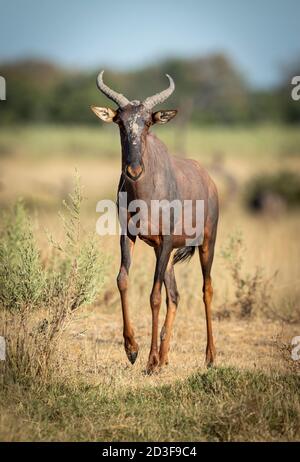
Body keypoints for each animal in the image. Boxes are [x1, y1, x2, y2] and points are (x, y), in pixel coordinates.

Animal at [91, 73, 218, 376]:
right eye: (120, 121)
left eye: (148, 122)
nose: (134, 170)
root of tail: (208, 179)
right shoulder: (130, 236)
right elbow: (123, 280)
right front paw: (132, 350)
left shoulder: (166, 240)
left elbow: (154, 296)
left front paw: (148, 360)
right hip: (168, 255)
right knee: (176, 296)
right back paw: (164, 358)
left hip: (206, 243)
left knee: (206, 290)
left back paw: (209, 357)